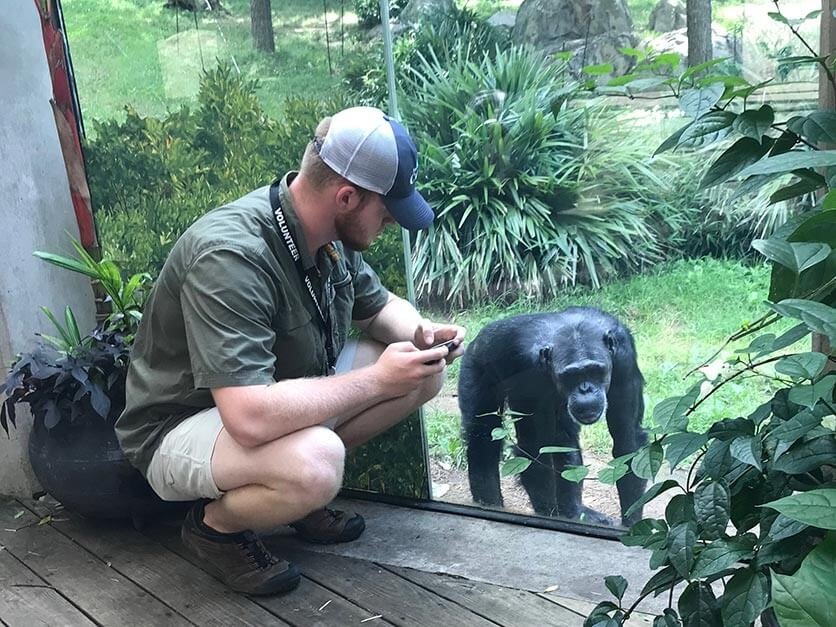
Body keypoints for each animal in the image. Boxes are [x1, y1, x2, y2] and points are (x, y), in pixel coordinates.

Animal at [458, 306, 648, 528]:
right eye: (571, 375)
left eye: (595, 370)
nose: (585, 389)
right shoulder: (527, 370)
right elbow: (534, 447)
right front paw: (549, 516)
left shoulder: (624, 359)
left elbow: (627, 439)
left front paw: (632, 523)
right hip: (475, 366)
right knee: (483, 435)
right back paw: (489, 503)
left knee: (564, 439)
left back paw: (574, 511)